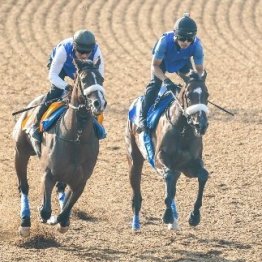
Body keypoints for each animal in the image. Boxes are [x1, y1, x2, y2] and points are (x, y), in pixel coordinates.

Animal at [12, 59, 107, 237]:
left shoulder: (80, 181)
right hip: (20, 152)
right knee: (24, 187)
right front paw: (43, 213)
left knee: (60, 189)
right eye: (84, 79)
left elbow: (64, 214)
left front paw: (60, 220)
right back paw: (25, 223)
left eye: (101, 79)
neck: (76, 138)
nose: (99, 103)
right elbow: (45, 211)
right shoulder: (48, 174)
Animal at [126, 71, 210, 231]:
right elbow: (170, 177)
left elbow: (203, 175)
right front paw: (167, 215)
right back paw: (136, 223)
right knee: (137, 189)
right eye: (188, 95)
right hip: (134, 157)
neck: (183, 130)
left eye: (207, 95)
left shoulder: (189, 165)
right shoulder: (158, 159)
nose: (201, 125)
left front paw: (194, 216)